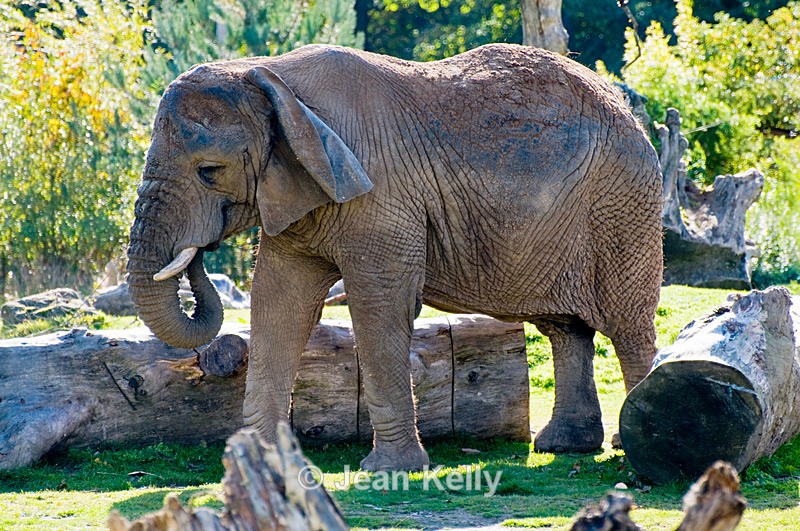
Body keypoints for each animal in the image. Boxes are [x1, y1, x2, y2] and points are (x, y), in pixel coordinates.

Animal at [127, 43, 663, 471]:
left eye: (210, 171)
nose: (199, 253)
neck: (271, 75)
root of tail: (628, 110)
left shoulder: (381, 197)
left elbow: (378, 305)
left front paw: (391, 471)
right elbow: (279, 301)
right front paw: (259, 462)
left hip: (622, 206)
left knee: (628, 327)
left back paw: (636, 444)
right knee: (566, 329)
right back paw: (564, 447)